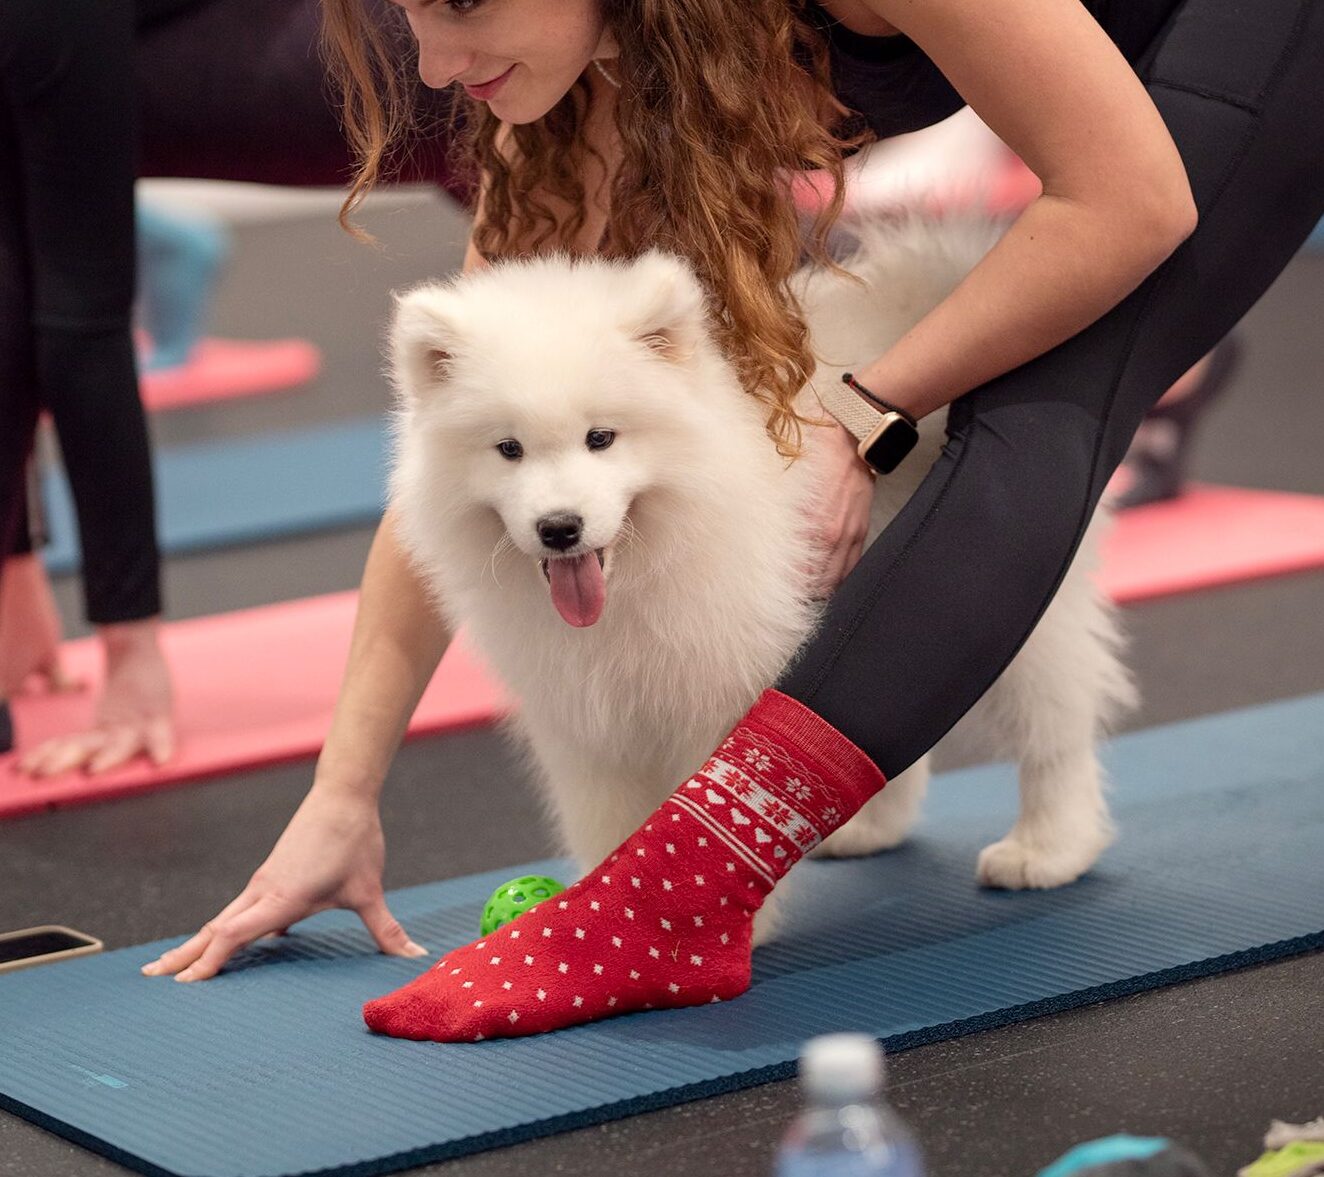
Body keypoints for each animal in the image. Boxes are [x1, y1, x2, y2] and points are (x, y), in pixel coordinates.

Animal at [386, 215, 1138, 942]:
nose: (559, 527)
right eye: (507, 449)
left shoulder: (715, 684)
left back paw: (1048, 847)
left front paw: (691, 925)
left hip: (997, 589)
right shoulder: (583, 719)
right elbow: (608, 821)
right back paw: (871, 827)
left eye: (601, 438)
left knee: (1055, 720)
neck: (640, 575)